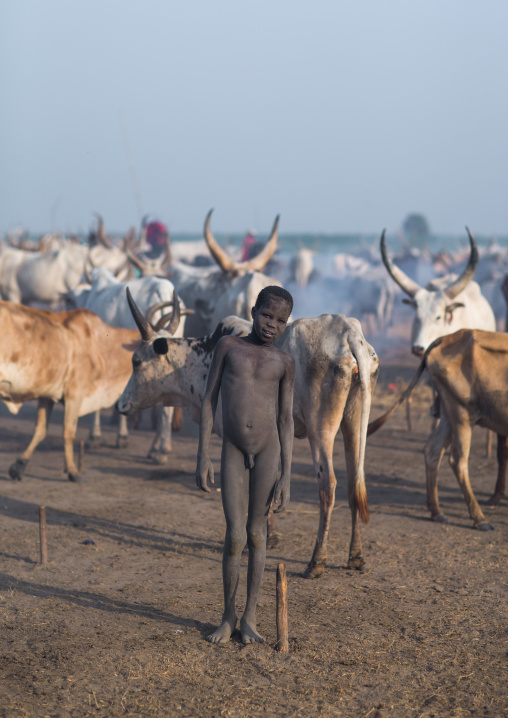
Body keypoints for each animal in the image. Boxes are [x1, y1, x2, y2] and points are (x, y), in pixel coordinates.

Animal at [0, 300, 180, 482]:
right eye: (164, 351)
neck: (100, 345)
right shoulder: (75, 394)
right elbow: (69, 432)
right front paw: (73, 471)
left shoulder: (47, 395)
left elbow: (40, 431)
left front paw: (19, 467)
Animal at [117, 289, 380, 578]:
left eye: (136, 361)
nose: (120, 405)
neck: (201, 357)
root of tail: (348, 333)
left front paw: (270, 535)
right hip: (354, 423)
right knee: (354, 482)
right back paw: (355, 556)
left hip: (320, 428)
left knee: (328, 485)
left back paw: (316, 561)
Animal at [368, 329, 508, 529]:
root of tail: (446, 338)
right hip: (462, 415)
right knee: (458, 461)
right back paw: (479, 518)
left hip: (449, 415)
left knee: (432, 450)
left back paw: (436, 512)